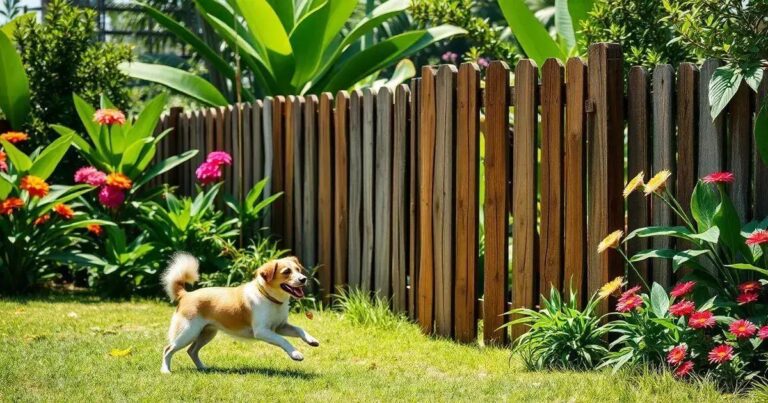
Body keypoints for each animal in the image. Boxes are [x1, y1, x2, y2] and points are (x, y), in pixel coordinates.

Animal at [160, 254, 320, 374]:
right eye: (287, 272)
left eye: (298, 269)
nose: (303, 279)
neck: (270, 298)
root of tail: (185, 294)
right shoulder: (262, 331)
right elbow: (283, 340)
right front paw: (295, 354)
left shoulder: (281, 326)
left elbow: (299, 329)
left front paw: (311, 340)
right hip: (188, 332)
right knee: (168, 349)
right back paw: (166, 370)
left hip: (206, 333)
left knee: (191, 351)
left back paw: (203, 368)